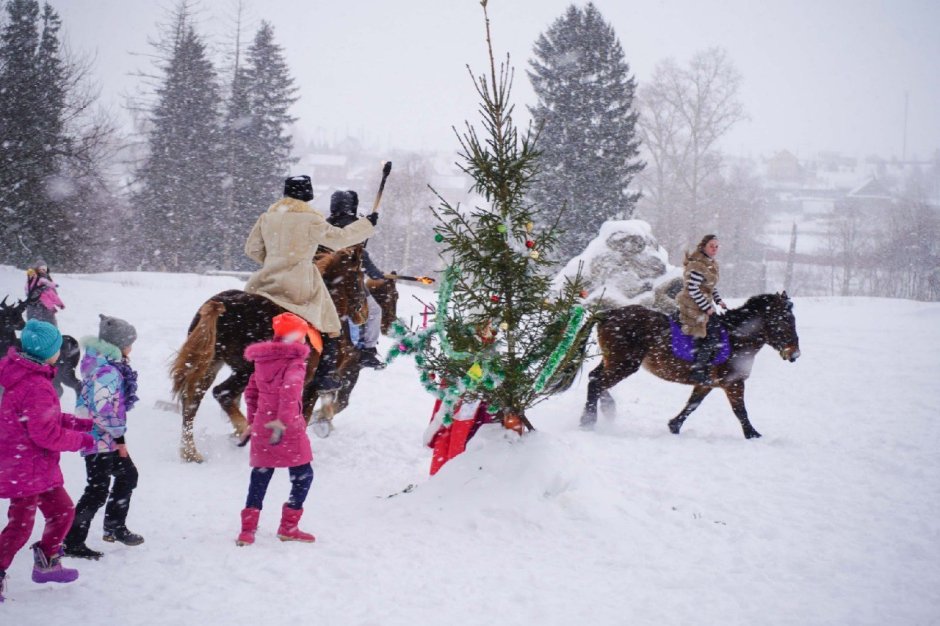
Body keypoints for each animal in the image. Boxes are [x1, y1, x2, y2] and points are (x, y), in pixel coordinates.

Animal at [169, 246, 374, 460]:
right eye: (360, 277)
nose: (364, 314)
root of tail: (221, 306)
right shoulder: (312, 384)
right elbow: (304, 415)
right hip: (246, 370)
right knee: (221, 393)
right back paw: (243, 431)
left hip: (209, 364)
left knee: (192, 400)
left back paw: (191, 451)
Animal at [580, 290, 800, 436]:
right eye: (784, 320)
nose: (795, 354)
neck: (736, 337)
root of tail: (608, 313)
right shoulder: (733, 383)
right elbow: (740, 411)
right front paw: (753, 435)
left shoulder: (706, 383)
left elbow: (692, 405)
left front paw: (674, 426)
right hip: (623, 364)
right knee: (597, 383)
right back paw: (588, 421)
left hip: (613, 361)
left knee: (594, 377)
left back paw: (607, 409)